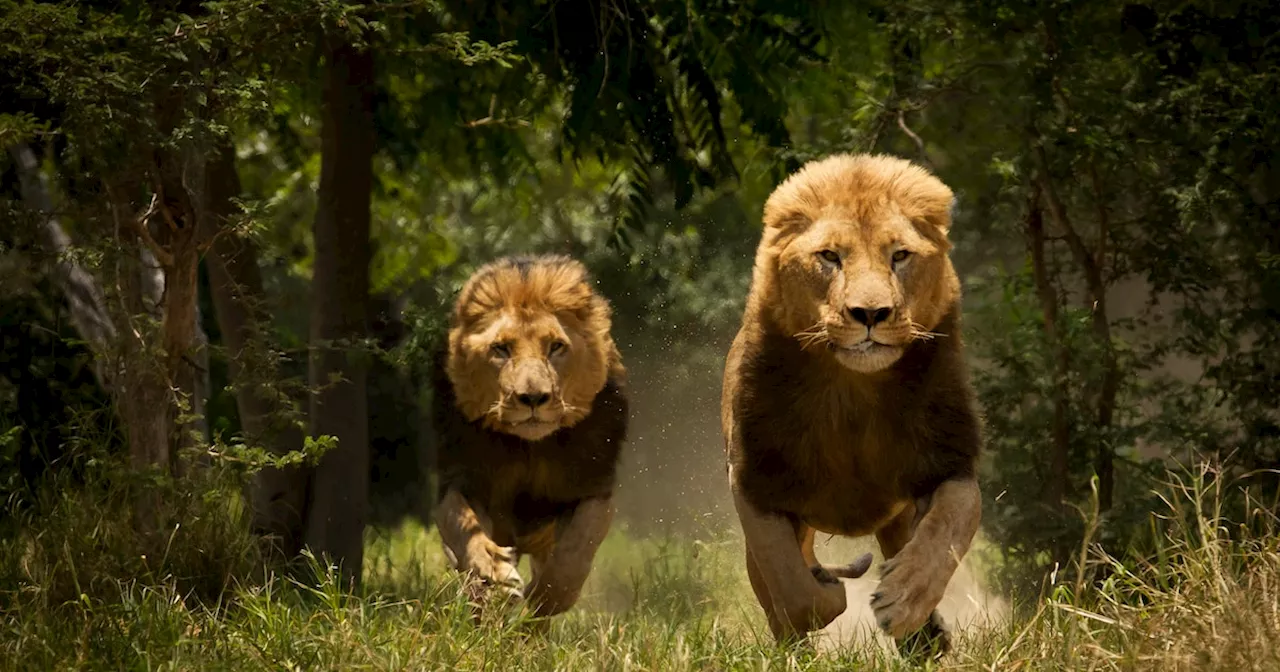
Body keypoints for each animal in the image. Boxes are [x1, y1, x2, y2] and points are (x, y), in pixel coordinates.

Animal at [432, 253, 627, 619]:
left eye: (556, 347)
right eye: (501, 349)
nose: (534, 398)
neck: (529, 450)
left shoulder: (593, 487)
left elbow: (578, 545)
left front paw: (549, 597)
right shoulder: (460, 480)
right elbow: (466, 531)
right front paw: (497, 579)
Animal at [727, 152, 983, 655]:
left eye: (900, 255)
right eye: (830, 256)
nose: (871, 314)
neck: (854, 392)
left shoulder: (949, 462)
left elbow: (952, 524)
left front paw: (903, 600)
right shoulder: (753, 479)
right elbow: (787, 580)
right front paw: (826, 595)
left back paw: (926, 640)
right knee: (772, 588)